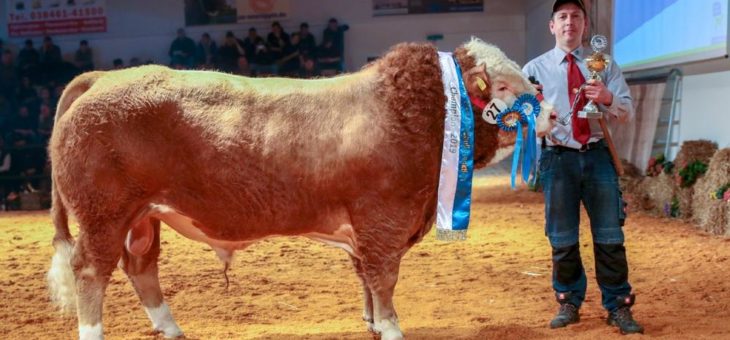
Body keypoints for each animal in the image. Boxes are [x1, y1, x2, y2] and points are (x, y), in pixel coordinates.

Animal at [47, 38, 552, 338]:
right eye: (502, 85)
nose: (548, 114)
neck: (412, 115)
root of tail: (105, 77)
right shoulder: (383, 219)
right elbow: (384, 278)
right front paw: (390, 328)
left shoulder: (364, 231)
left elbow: (366, 278)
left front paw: (371, 322)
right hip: (103, 216)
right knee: (91, 272)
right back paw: (94, 331)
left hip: (143, 217)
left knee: (141, 267)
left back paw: (171, 328)